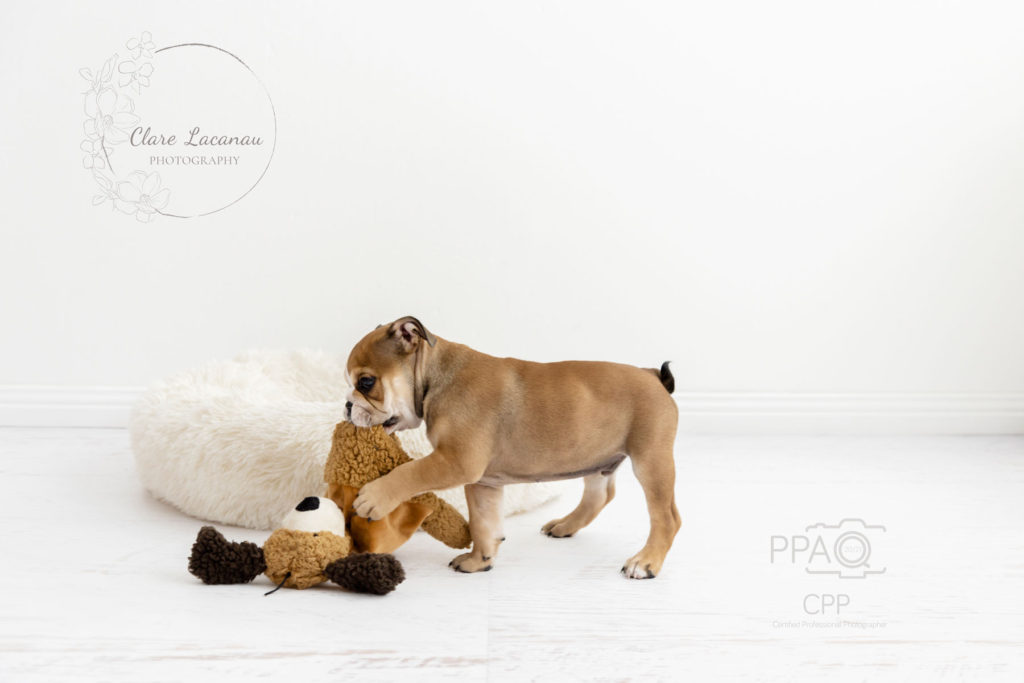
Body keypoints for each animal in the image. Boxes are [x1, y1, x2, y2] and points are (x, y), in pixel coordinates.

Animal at [344, 317, 679, 581]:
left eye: (366, 382)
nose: (347, 405)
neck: (436, 375)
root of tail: (653, 376)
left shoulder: (454, 461)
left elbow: (410, 471)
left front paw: (374, 497)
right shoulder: (483, 483)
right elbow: (483, 523)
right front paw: (479, 560)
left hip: (651, 461)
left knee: (666, 518)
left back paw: (645, 562)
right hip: (598, 458)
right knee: (599, 496)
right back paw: (565, 525)